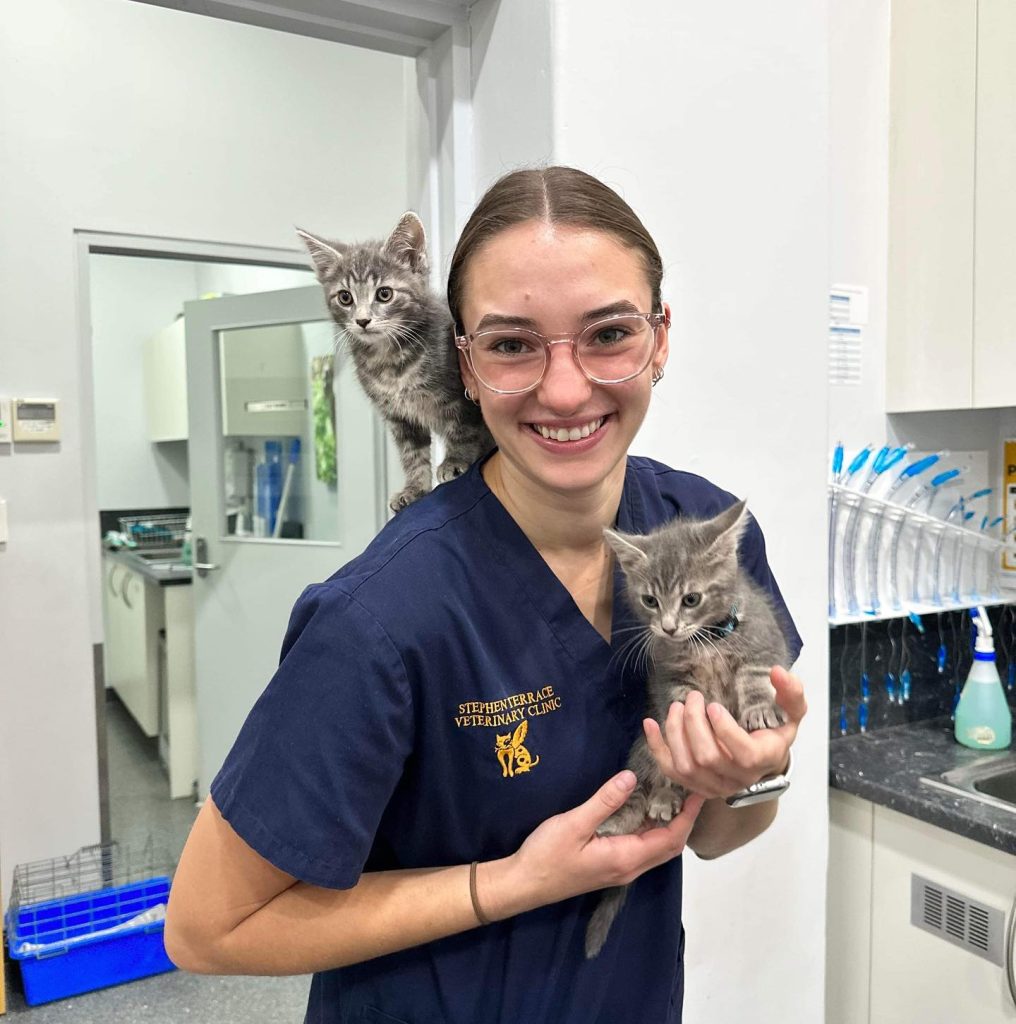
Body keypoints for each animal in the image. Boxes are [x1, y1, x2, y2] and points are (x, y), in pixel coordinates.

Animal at [297, 215, 491, 512]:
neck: (390, 362)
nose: (362, 320)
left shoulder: (461, 398)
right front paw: (414, 489)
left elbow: (464, 431)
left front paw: (455, 462)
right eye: (345, 297)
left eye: (384, 294)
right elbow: (412, 454)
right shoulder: (399, 417)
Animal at [581, 497, 790, 958]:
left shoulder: (764, 642)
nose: (669, 627)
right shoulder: (669, 676)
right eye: (649, 600)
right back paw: (646, 805)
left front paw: (759, 709)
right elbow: (677, 705)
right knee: (646, 785)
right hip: (643, 748)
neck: (705, 640)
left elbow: (754, 676)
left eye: (691, 598)